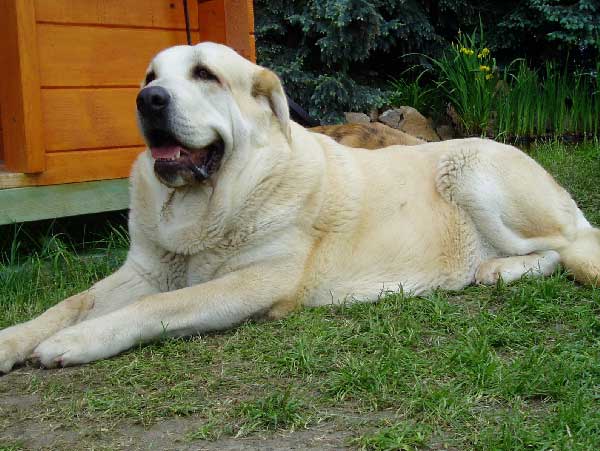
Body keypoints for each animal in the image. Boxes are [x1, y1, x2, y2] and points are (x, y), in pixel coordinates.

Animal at [1, 43, 600, 374]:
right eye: (151, 78)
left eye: (204, 75)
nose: (147, 100)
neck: (207, 206)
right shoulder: (146, 270)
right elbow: (73, 301)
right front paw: (14, 339)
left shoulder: (257, 281)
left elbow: (158, 306)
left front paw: (74, 342)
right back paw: (493, 269)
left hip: (470, 167)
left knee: (567, 245)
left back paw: (500, 268)